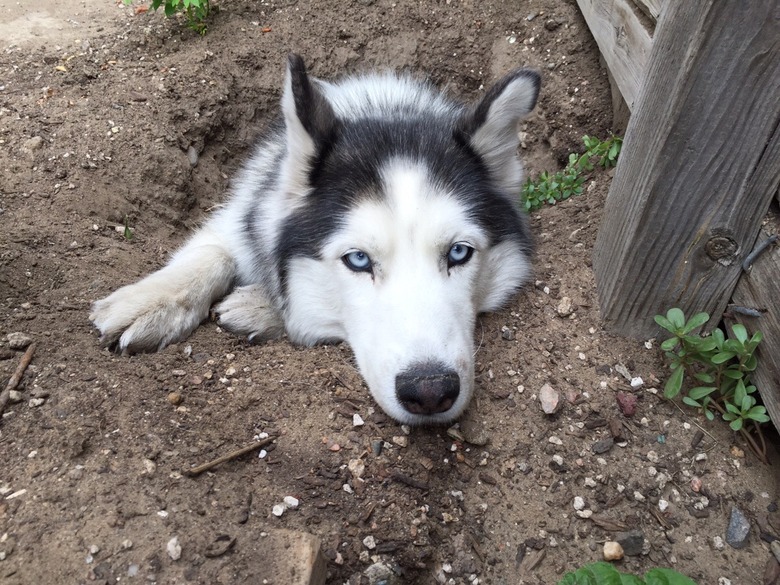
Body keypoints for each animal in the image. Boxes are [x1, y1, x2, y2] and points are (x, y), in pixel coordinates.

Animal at [91, 54, 540, 424]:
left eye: (459, 253)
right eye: (358, 260)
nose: (429, 391)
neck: (385, 112)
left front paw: (262, 307)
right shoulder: (244, 211)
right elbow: (212, 255)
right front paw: (150, 301)